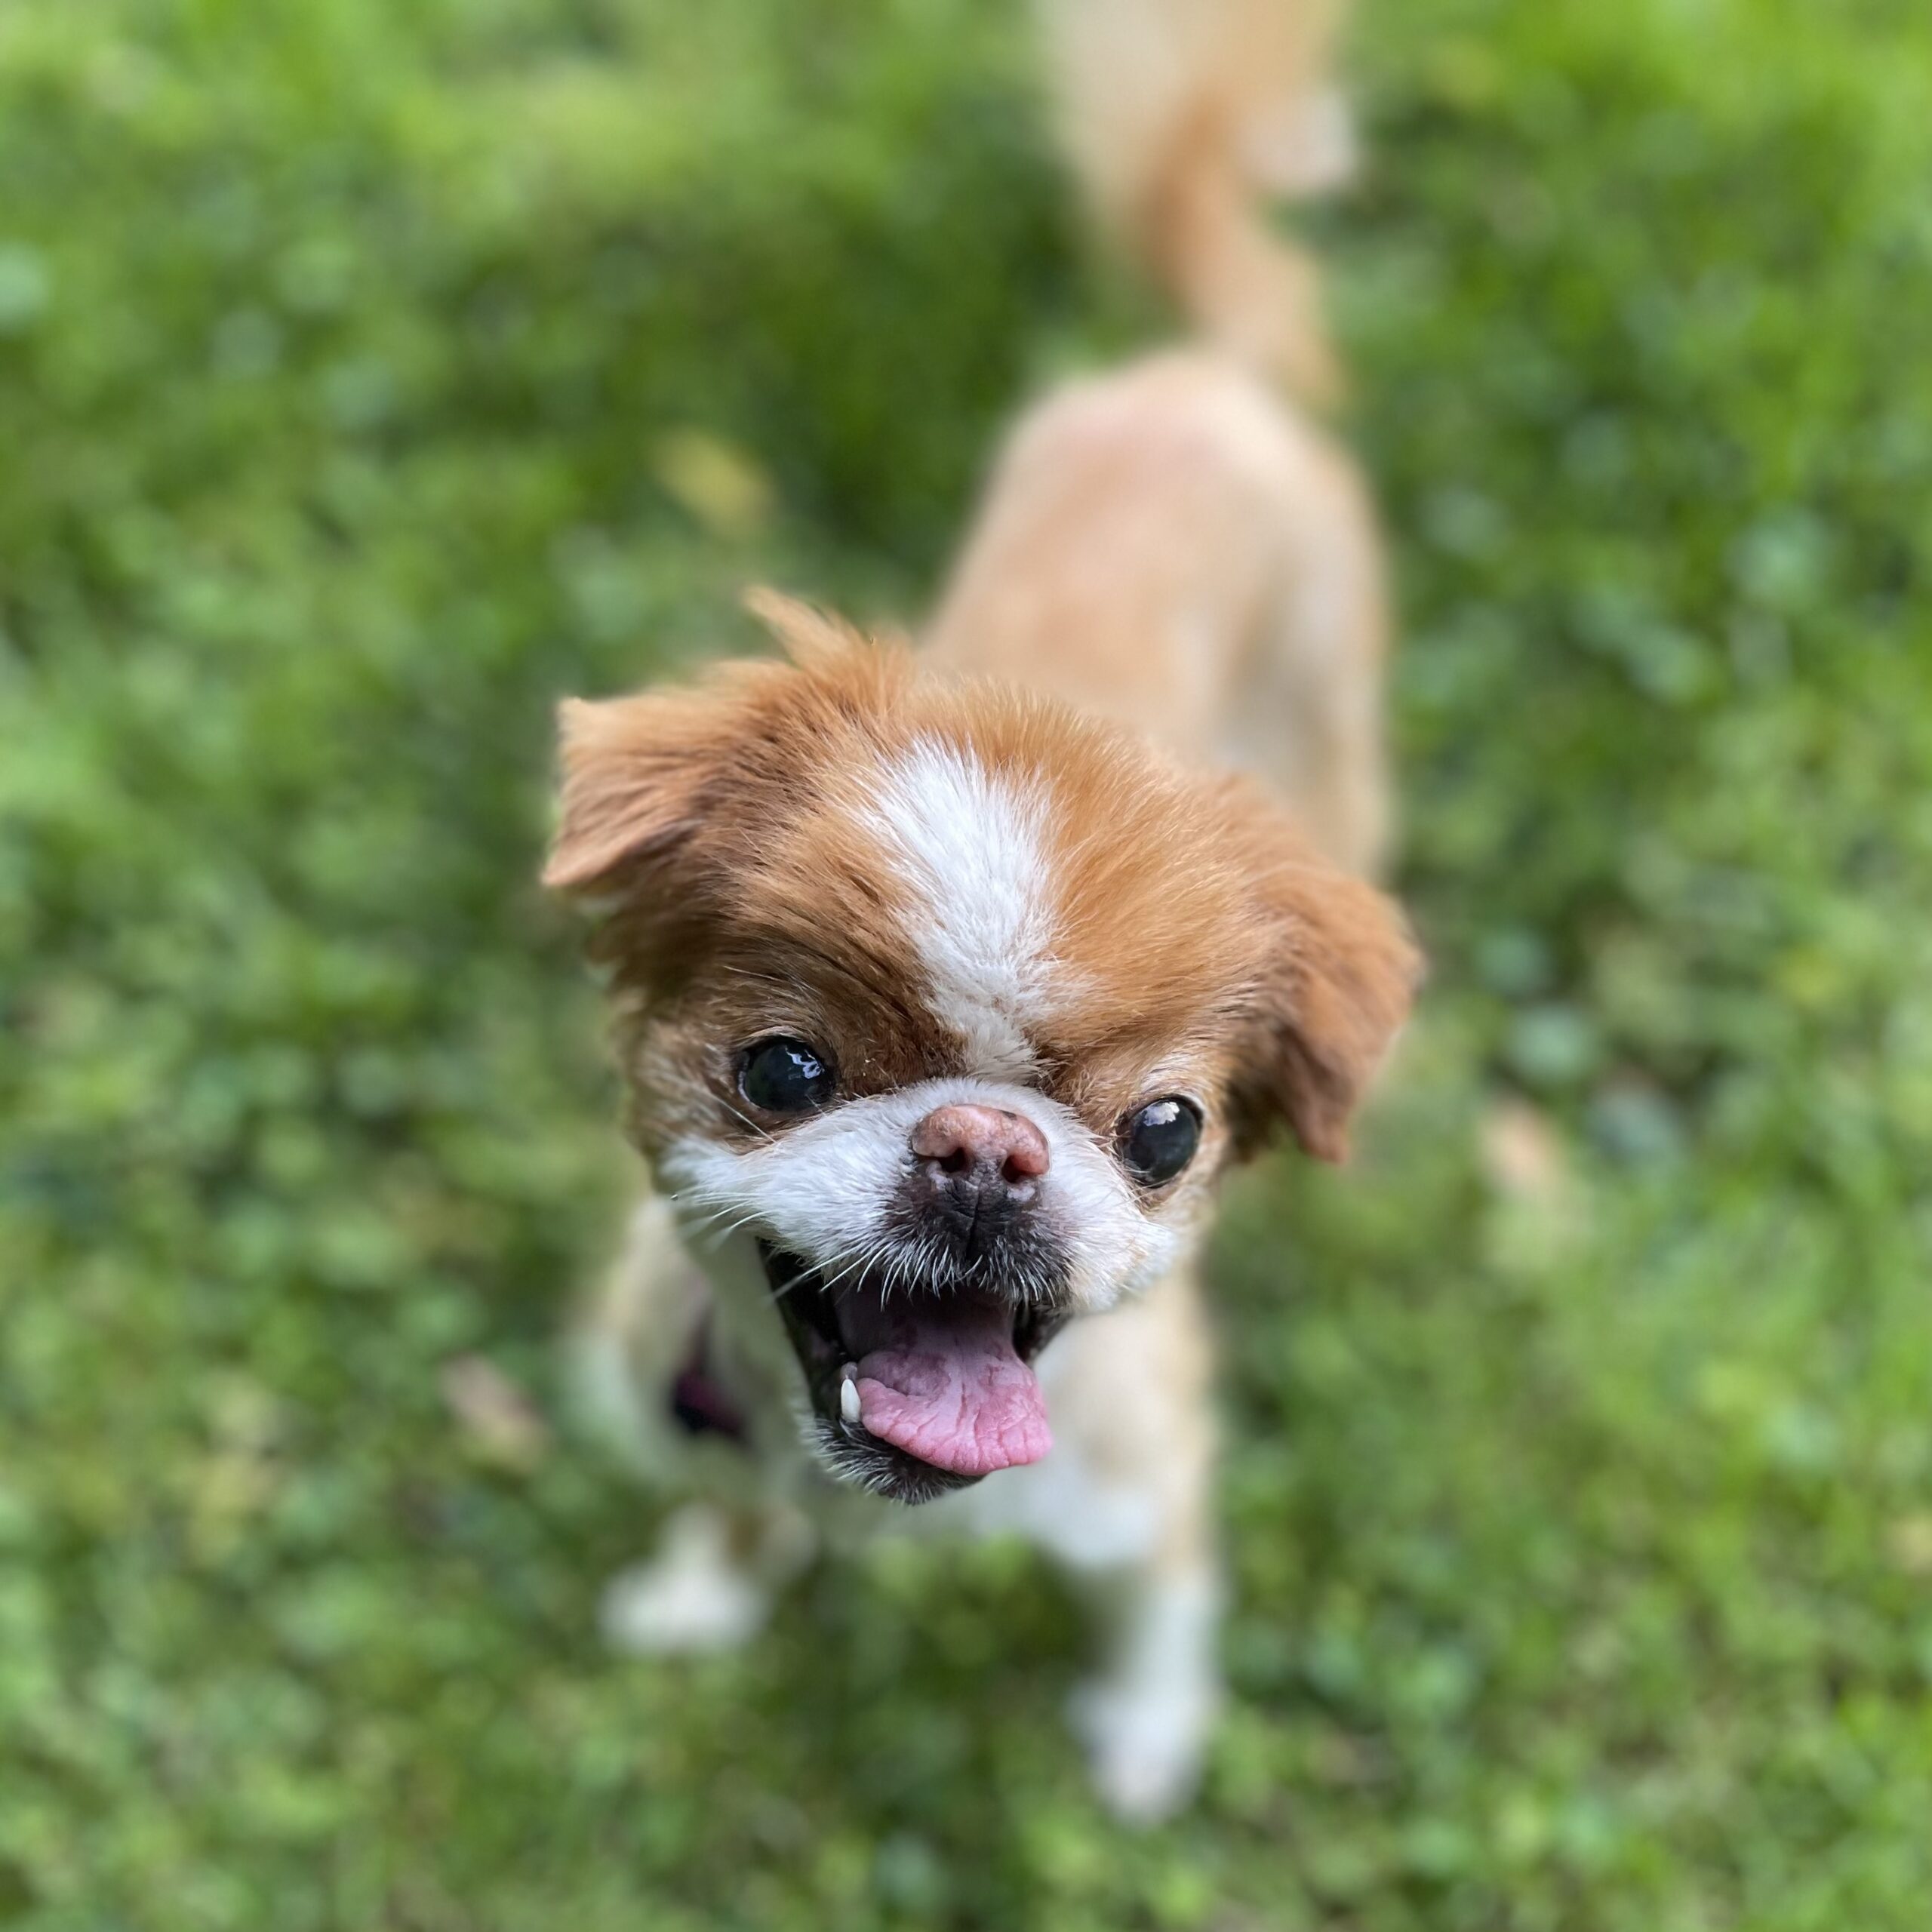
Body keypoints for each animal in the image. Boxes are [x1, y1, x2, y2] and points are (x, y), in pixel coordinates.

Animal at [543, 0, 1414, 1821]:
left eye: (1164, 1130)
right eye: (784, 1069)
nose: (988, 1149)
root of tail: (1204, 378)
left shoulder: (1148, 1493)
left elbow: (1159, 1618)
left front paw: (1146, 1743)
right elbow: (730, 1507)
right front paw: (707, 1587)